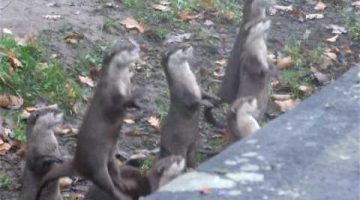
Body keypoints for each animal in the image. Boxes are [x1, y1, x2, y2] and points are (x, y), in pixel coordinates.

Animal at [34, 39, 142, 200]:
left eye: (131, 43)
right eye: (128, 48)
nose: (138, 46)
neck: (120, 82)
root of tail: (76, 163)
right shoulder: (108, 96)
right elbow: (117, 106)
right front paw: (135, 97)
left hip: (111, 157)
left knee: (115, 174)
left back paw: (125, 184)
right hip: (97, 167)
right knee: (108, 186)